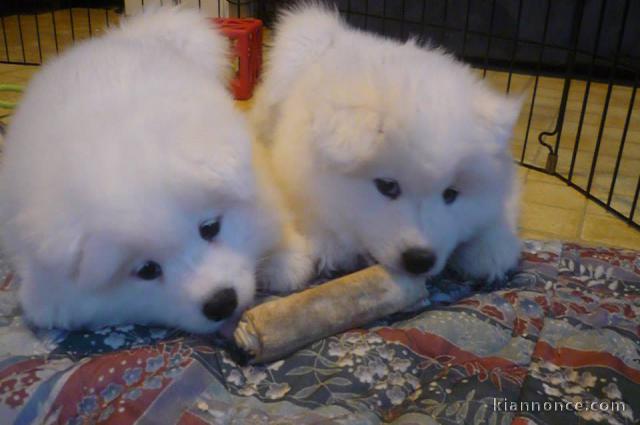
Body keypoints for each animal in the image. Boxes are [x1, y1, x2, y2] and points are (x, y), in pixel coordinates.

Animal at [252, 4, 524, 292]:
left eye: (450, 194)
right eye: (387, 186)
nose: (420, 260)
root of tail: (343, 34)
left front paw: (490, 249)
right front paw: (330, 247)